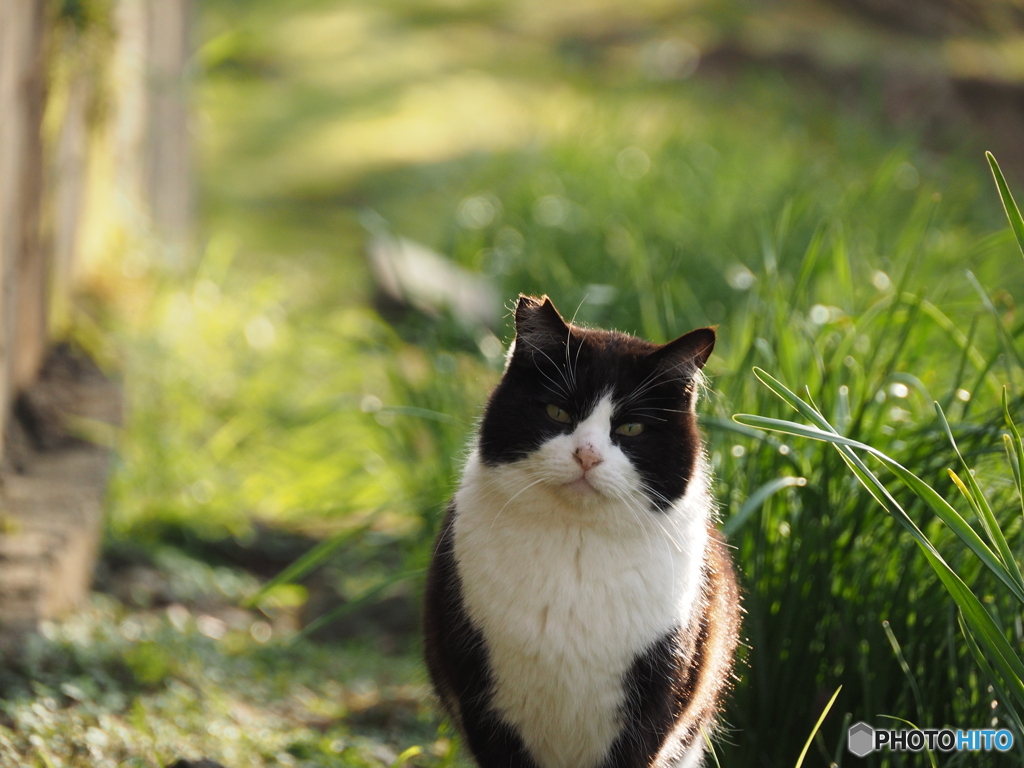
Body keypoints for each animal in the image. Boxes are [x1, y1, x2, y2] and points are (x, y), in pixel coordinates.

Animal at [419, 296, 741, 768]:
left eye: (630, 428)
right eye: (558, 412)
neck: (578, 543)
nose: (587, 455)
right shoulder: (483, 704)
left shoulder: (655, 705)